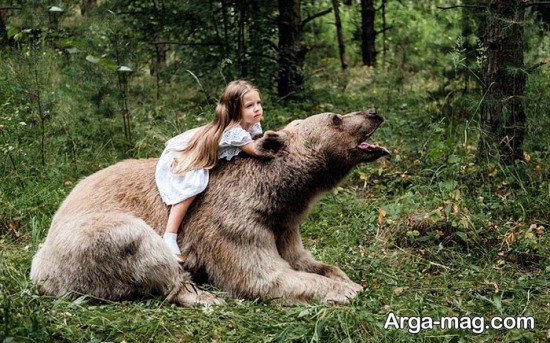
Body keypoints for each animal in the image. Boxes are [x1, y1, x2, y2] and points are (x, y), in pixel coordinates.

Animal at [30, 110, 390, 306]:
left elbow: (302, 259)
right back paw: (204, 296)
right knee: (138, 243)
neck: (273, 190)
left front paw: (343, 277)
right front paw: (348, 290)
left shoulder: (283, 222)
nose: (374, 111)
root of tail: (40, 272)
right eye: (336, 118)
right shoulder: (231, 220)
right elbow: (260, 275)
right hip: (84, 241)